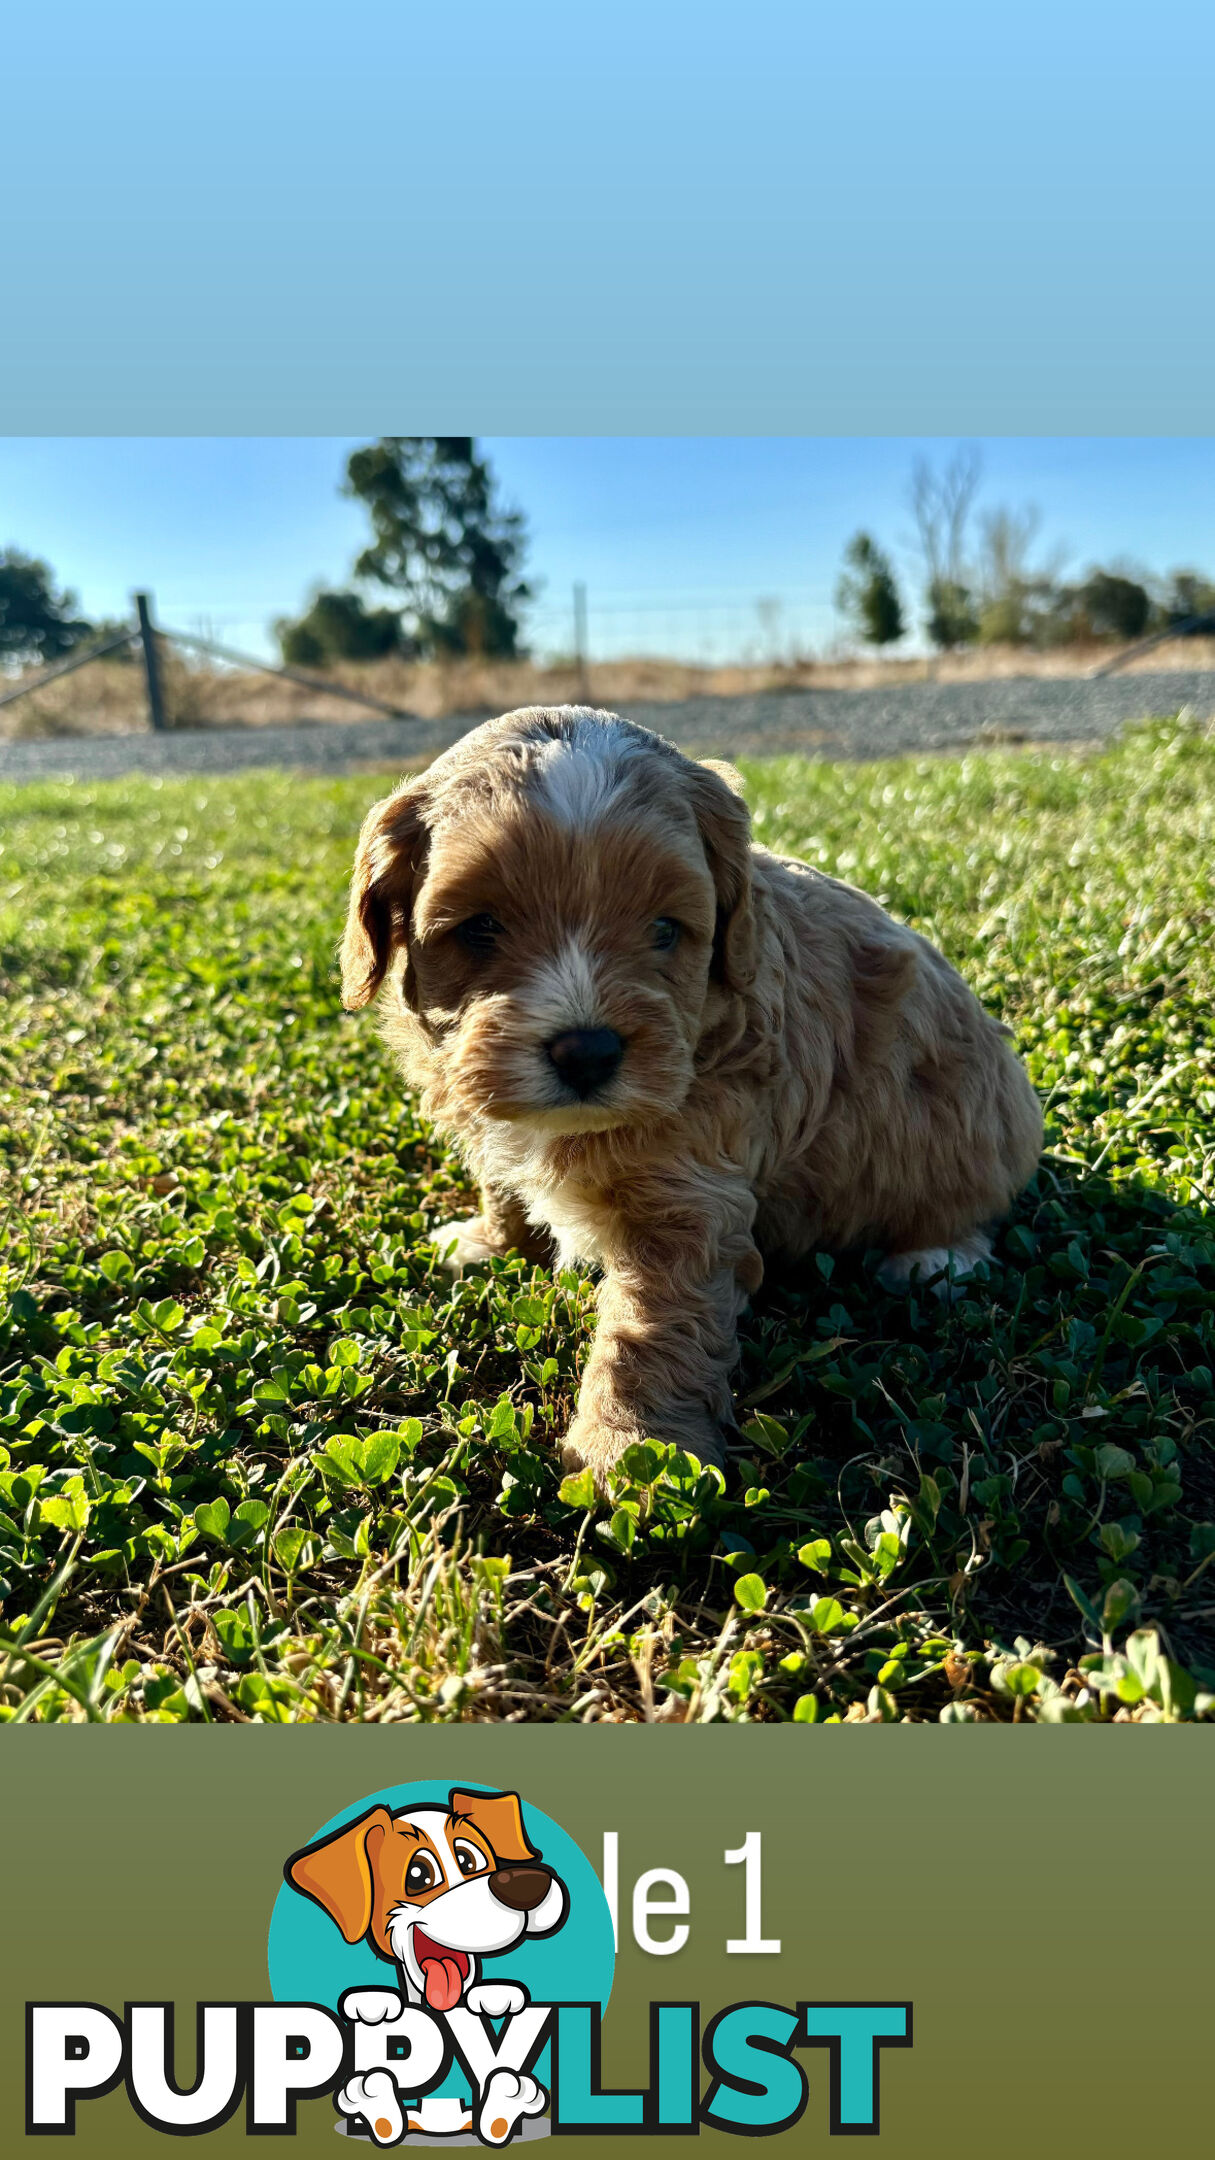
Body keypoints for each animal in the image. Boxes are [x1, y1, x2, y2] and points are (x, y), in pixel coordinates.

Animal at [341, 708, 1042, 1486]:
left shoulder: (691, 1195)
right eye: (479, 929)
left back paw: (935, 1254)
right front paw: (492, 1240)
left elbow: (649, 1329)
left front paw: (632, 1450)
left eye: (664, 930)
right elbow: (503, 1181)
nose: (587, 1051)